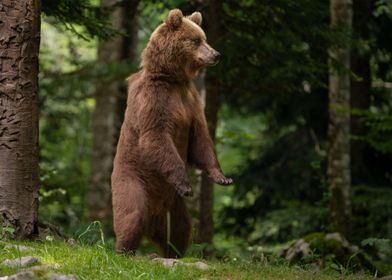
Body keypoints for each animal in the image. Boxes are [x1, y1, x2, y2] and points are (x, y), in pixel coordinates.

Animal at [111, 8, 233, 258]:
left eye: (204, 38)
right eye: (196, 40)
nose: (216, 55)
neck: (173, 79)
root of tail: (153, 223)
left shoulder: (190, 103)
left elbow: (201, 141)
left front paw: (223, 177)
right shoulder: (155, 100)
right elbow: (156, 138)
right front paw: (186, 184)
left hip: (173, 206)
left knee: (181, 228)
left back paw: (174, 252)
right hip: (132, 182)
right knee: (131, 216)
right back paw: (124, 250)